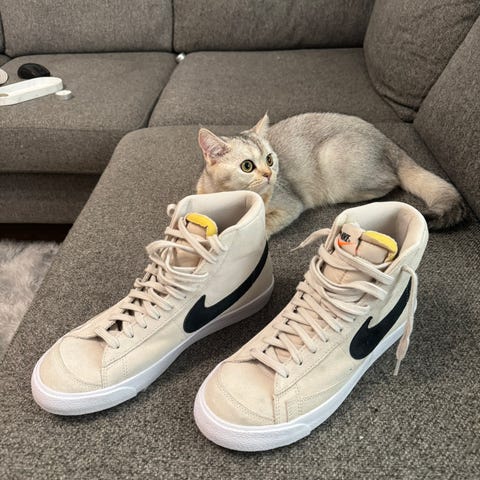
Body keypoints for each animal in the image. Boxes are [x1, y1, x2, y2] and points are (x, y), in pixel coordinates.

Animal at [196, 113, 467, 236]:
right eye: (247, 166)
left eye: (270, 160)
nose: (269, 174)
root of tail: (390, 143)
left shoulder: (291, 206)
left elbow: (264, 223)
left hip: (337, 165)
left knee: (391, 182)